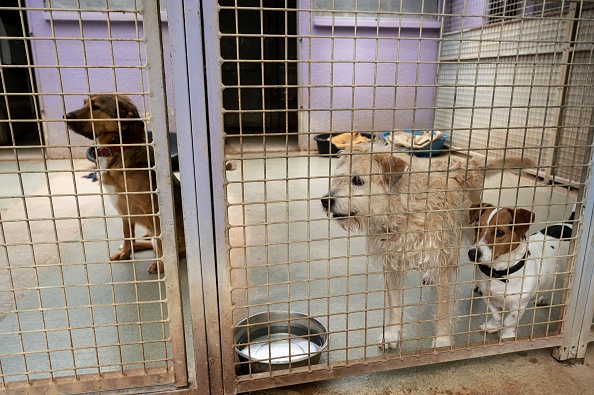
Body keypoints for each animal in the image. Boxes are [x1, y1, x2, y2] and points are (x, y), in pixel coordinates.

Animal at [65, 94, 185, 274]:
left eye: (95, 107)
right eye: (84, 103)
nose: (65, 116)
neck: (117, 148)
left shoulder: (152, 207)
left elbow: (160, 241)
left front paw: (161, 265)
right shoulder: (124, 209)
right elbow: (128, 234)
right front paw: (126, 253)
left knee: (158, 243)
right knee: (148, 242)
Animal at [320, 144, 528, 348]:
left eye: (357, 180)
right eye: (338, 178)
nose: (325, 201)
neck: (405, 212)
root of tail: (467, 162)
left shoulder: (444, 264)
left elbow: (443, 308)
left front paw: (442, 340)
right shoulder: (392, 267)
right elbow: (394, 306)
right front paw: (392, 335)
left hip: (473, 231)